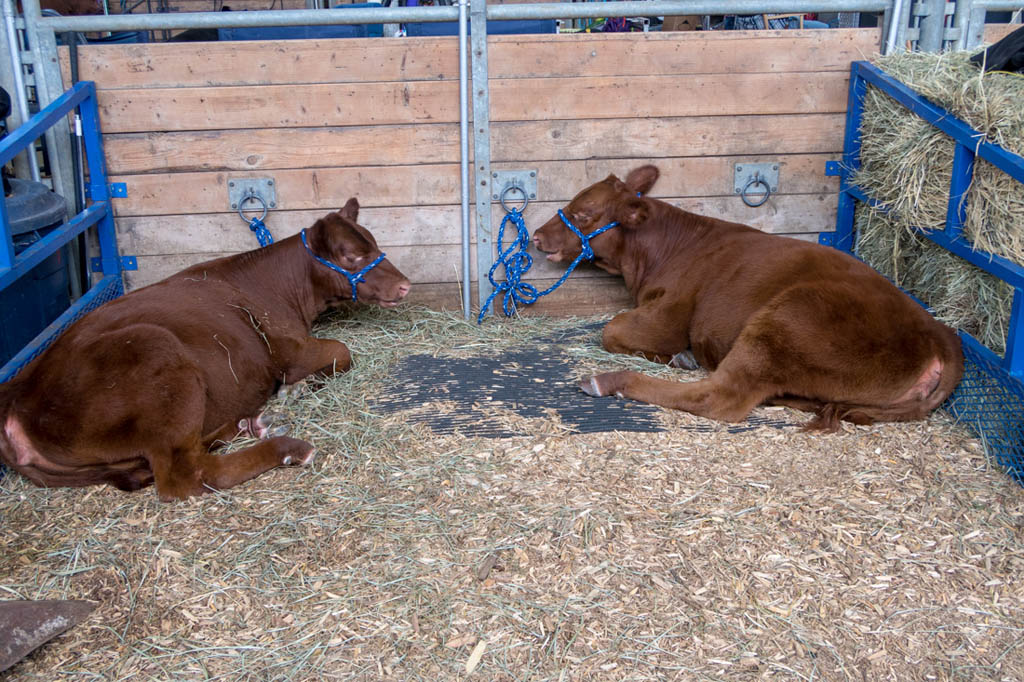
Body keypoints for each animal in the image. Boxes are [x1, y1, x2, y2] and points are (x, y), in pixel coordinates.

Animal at [1, 199, 407, 497]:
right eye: (350, 255)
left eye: (373, 242)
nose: (404, 285)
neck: (284, 290)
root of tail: (16, 400)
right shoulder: (289, 351)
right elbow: (342, 351)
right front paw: (299, 387)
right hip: (158, 357)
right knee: (187, 475)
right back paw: (288, 449)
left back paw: (247, 423)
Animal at [532, 164, 962, 430]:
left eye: (584, 212)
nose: (536, 236)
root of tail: (939, 333)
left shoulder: (670, 314)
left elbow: (612, 331)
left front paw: (676, 356)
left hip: (785, 320)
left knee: (721, 397)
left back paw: (610, 380)